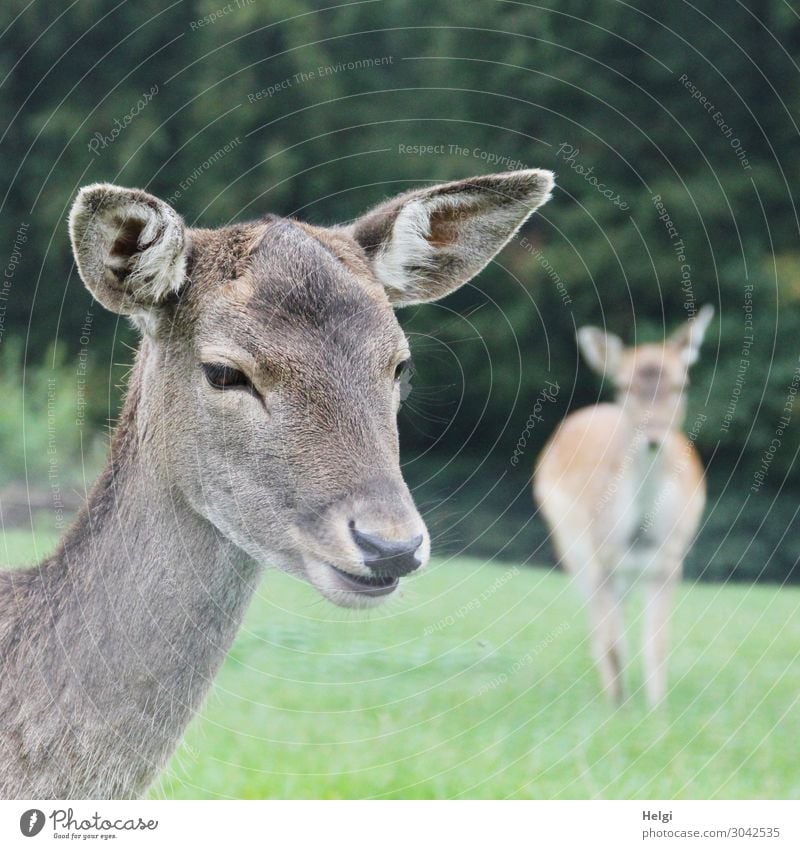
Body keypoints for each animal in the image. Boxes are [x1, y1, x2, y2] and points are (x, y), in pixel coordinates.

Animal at [536, 308, 716, 704]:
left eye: (682, 385)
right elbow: (611, 640)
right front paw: (617, 706)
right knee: (598, 624)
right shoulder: (599, 557)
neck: (638, 533)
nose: (653, 438)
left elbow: (657, 643)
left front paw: (657, 708)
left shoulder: (670, 560)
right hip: (570, 547)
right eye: (623, 386)